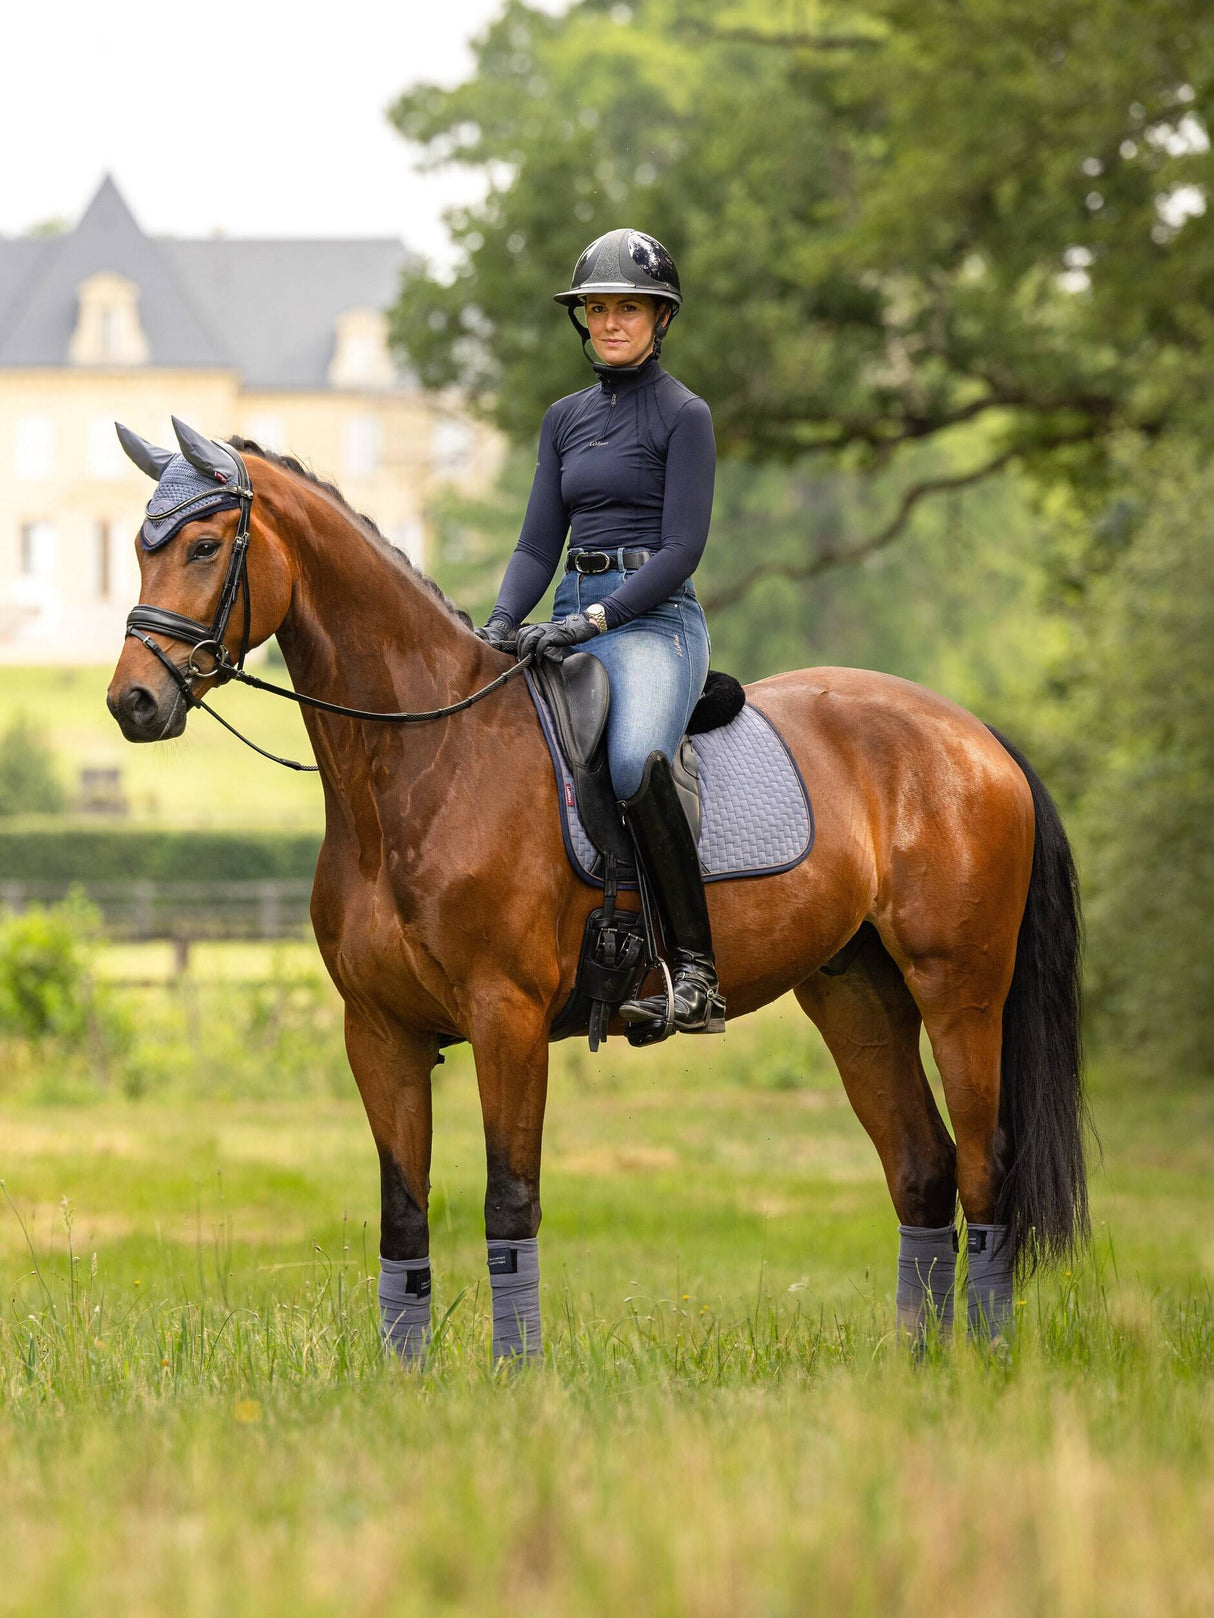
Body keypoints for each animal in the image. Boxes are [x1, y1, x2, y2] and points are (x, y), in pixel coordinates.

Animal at [109, 433, 1087, 1365]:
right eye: (138, 548)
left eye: (204, 545)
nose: (133, 702)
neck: (428, 759)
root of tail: (974, 734)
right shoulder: (379, 1032)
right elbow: (403, 1216)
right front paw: (407, 1382)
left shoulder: (505, 1018)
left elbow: (509, 1204)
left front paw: (518, 1377)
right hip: (856, 996)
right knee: (922, 1170)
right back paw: (919, 1364)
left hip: (960, 993)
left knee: (984, 1168)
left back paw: (985, 1359)